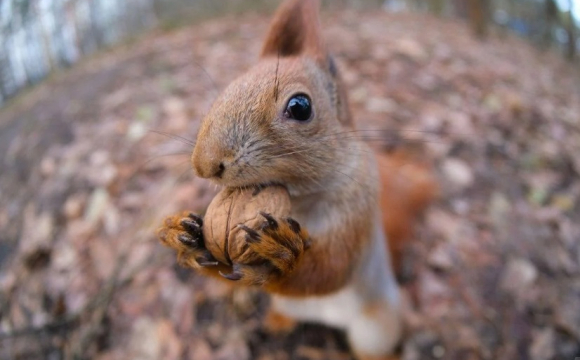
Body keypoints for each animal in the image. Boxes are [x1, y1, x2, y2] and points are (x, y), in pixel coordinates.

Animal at [156, 0, 438, 358]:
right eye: (224, 92)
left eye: (301, 106)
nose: (204, 165)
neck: (298, 199)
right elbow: (221, 263)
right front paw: (183, 235)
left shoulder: (357, 210)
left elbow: (331, 268)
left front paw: (279, 256)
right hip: (287, 303)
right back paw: (277, 320)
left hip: (375, 328)